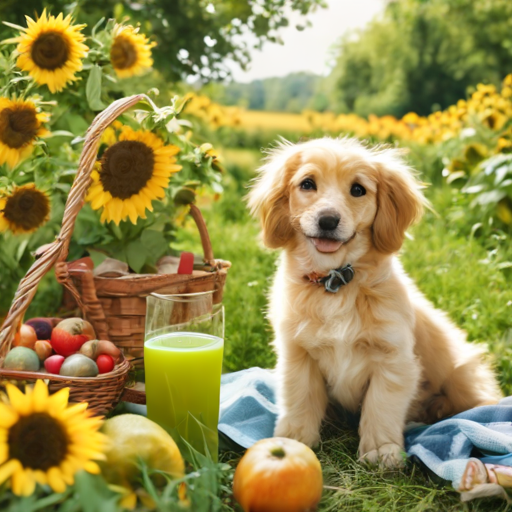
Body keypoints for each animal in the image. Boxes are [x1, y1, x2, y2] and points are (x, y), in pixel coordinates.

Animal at [246, 137, 502, 468]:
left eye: (358, 189)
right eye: (307, 184)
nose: (327, 220)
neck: (336, 284)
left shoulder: (394, 360)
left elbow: (381, 407)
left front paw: (381, 450)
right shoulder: (298, 356)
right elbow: (300, 401)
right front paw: (292, 440)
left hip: (462, 377)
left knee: (481, 405)